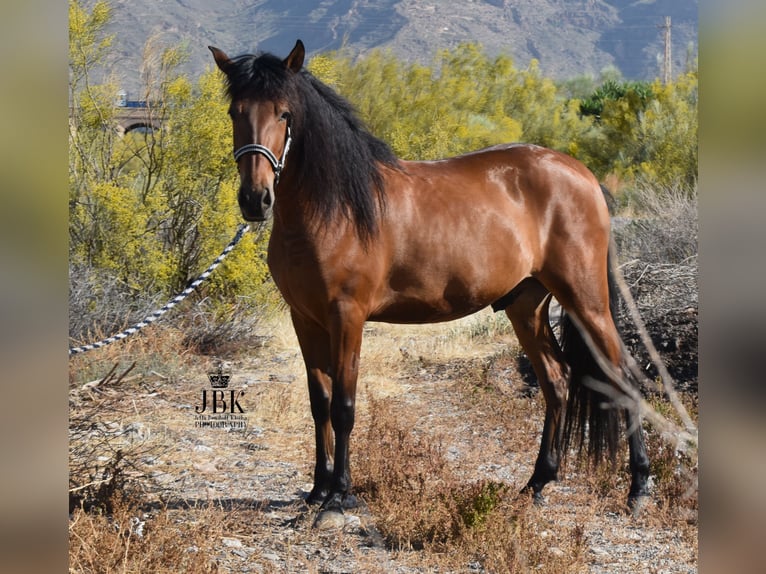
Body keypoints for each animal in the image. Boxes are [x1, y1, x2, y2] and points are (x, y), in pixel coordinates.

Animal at [212, 40, 656, 524]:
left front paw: (339, 497)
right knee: (557, 380)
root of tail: (585, 177)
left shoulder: (347, 317)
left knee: (625, 376)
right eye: (235, 111)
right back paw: (538, 483)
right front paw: (316, 491)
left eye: (284, 113)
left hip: (585, 299)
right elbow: (320, 403)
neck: (335, 208)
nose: (255, 199)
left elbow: (344, 405)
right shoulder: (305, 319)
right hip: (526, 306)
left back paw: (638, 488)